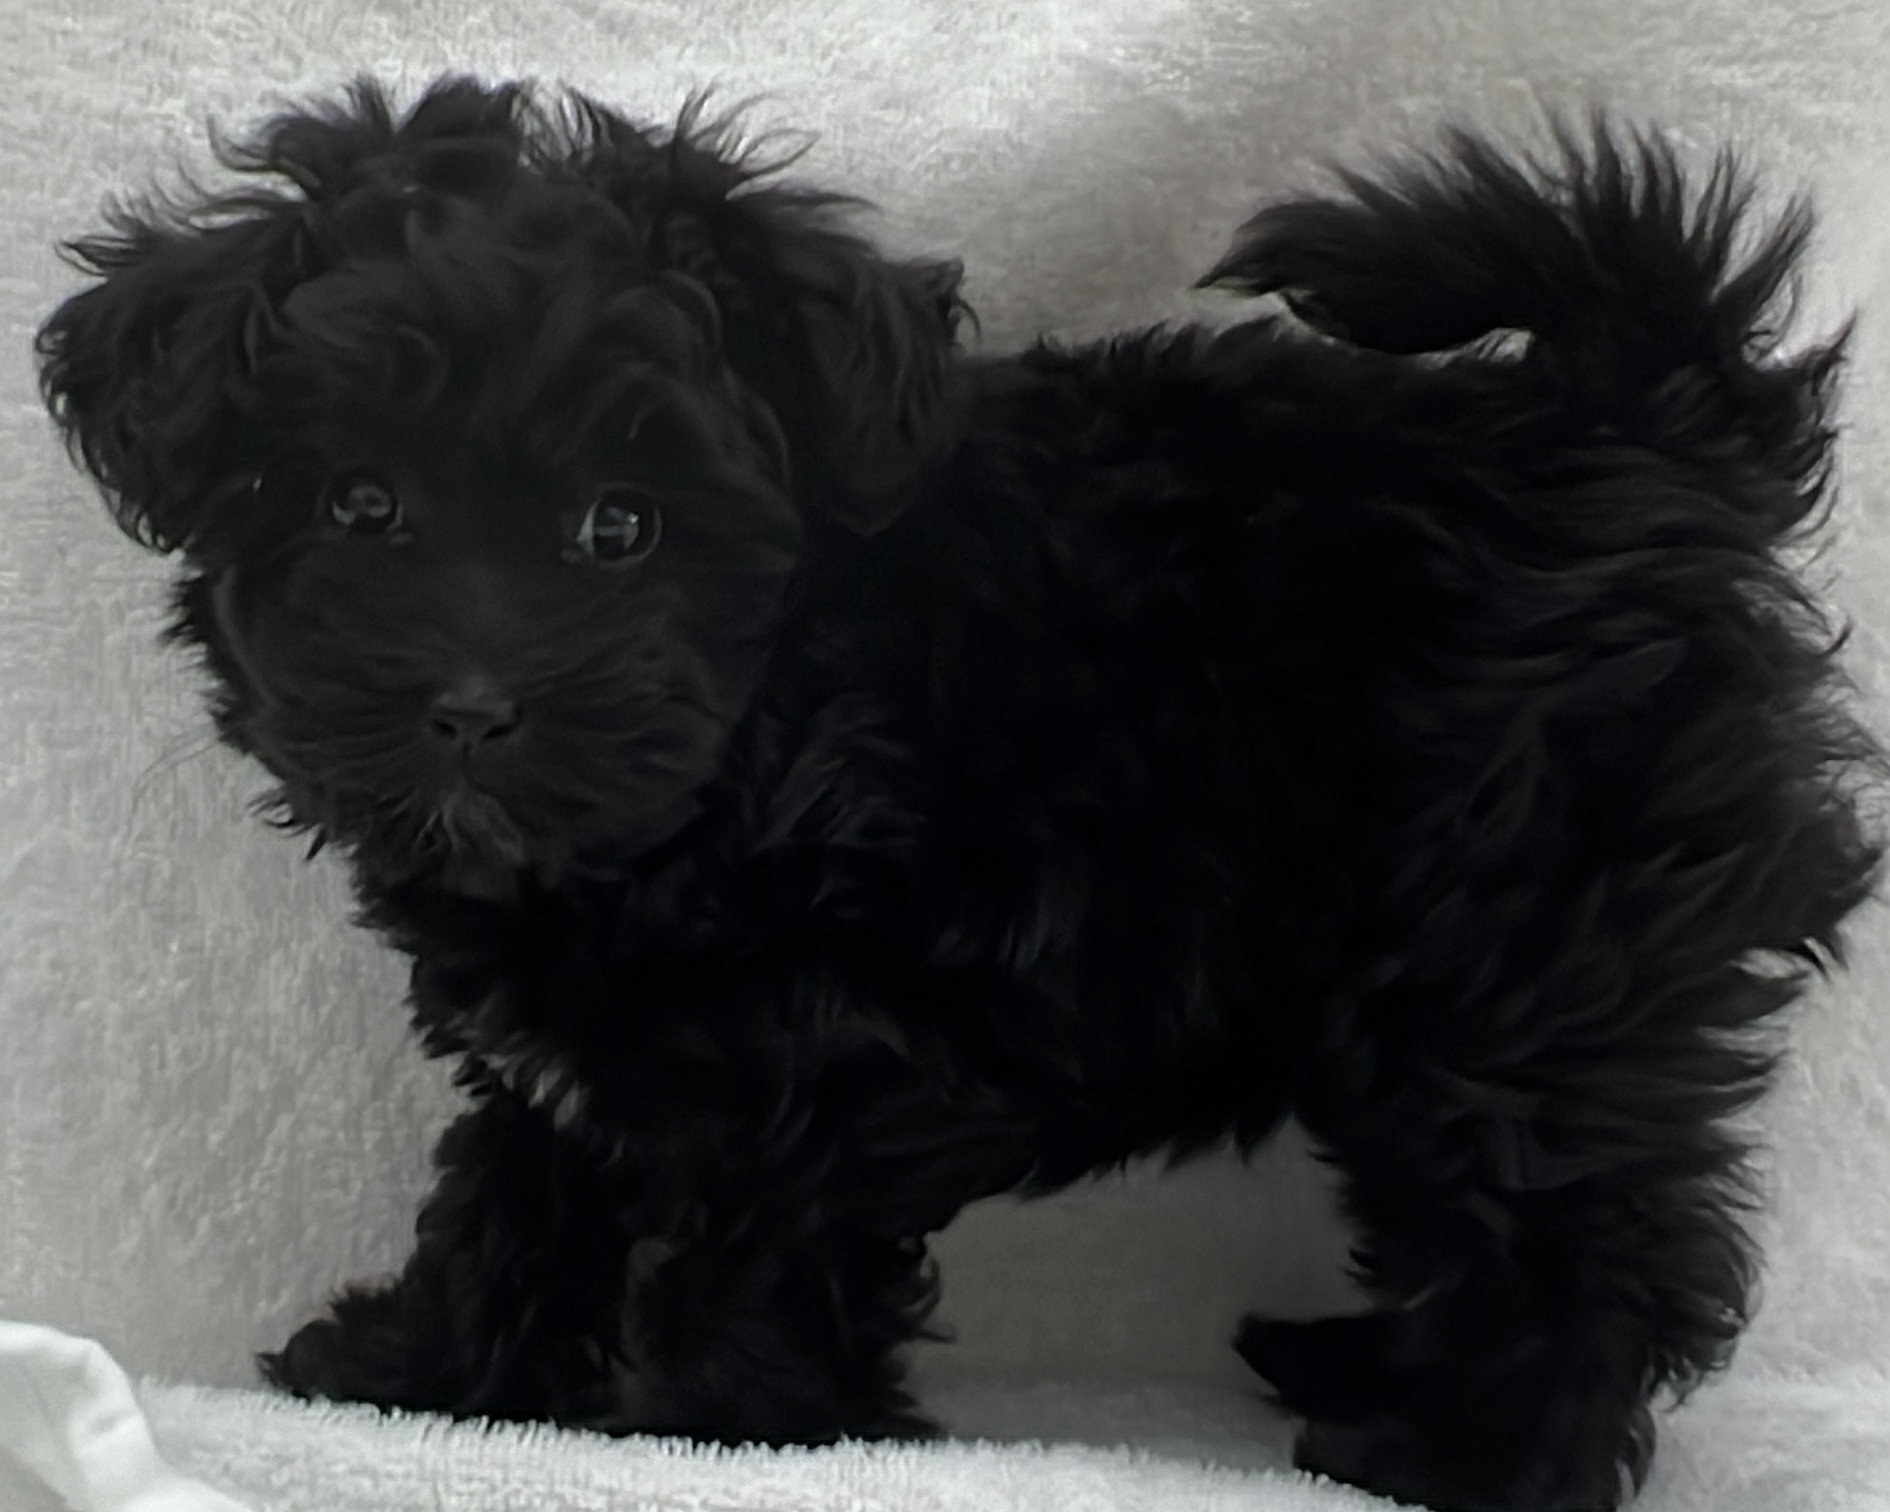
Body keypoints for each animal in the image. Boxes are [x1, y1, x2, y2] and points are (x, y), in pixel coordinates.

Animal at [37, 76, 1883, 1512]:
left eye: (620, 528)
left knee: (1574, 1224)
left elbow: (754, 1240)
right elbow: (513, 1186)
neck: (752, 729)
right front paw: (418, 1367)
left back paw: (1467, 1459)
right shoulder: (578, 1050)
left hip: (1527, 948)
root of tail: (1637, 423)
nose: (474, 708)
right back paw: (1355, 1369)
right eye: (361, 505)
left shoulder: (828, 1044)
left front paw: (716, 1428)